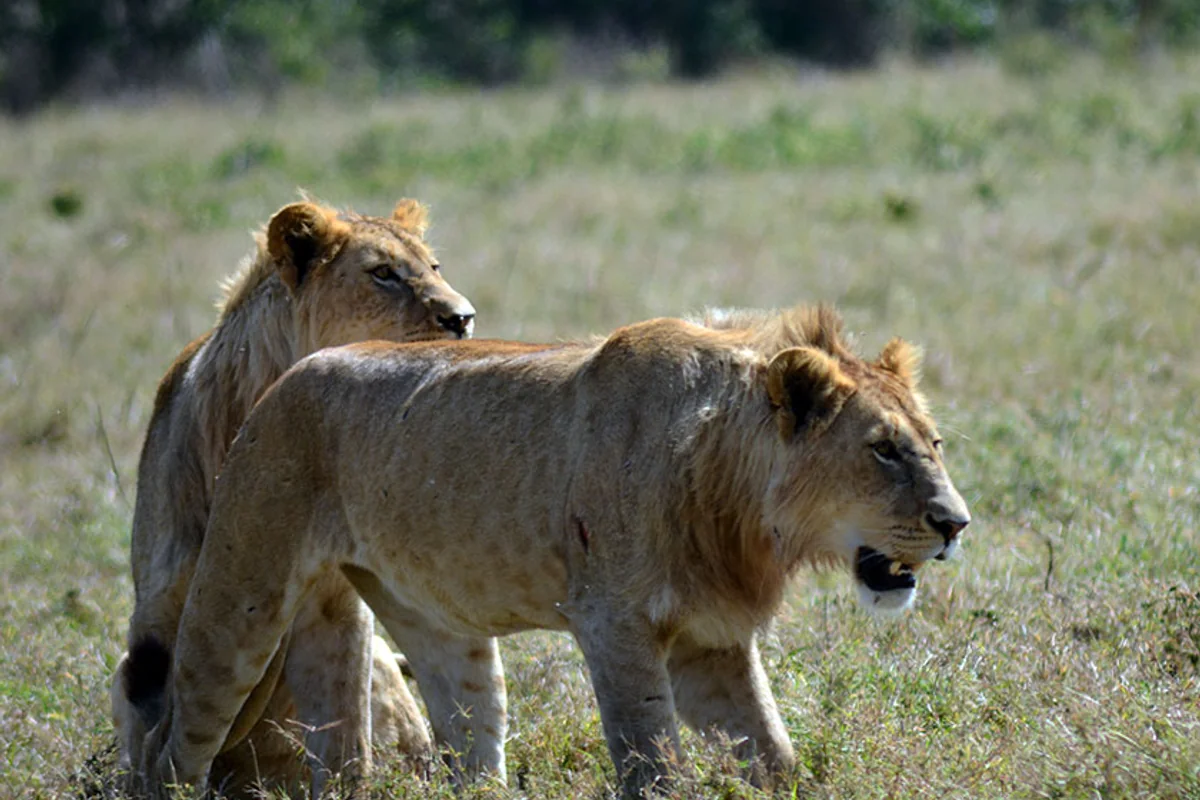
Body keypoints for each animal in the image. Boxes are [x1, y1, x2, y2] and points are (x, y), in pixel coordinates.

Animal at [115, 198, 476, 796]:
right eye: (383, 273)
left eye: (435, 267)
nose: (464, 317)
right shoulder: (164, 624)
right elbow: (169, 737)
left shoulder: (337, 605)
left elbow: (348, 736)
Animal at [137, 305, 970, 798]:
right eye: (882, 451)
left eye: (932, 444)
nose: (957, 524)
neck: (735, 504)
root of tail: (284, 376)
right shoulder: (614, 623)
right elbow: (653, 760)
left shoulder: (713, 639)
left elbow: (772, 755)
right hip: (241, 599)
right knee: (175, 745)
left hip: (413, 627)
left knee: (432, 749)